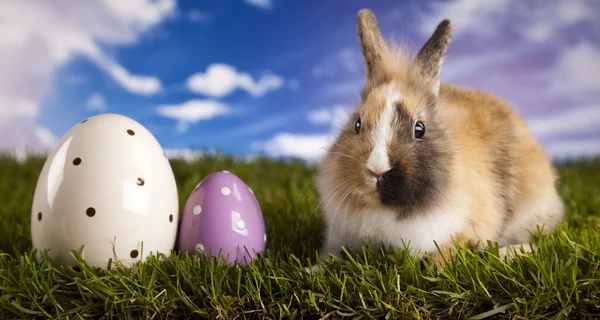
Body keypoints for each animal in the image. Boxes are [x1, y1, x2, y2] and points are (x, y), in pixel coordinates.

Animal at [308, 8, 564, 272]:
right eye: (357, 124)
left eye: (419, 129)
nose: (377, 170)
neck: (386, 209)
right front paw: (312, 269)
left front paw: (436, 268)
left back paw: (508, 253)